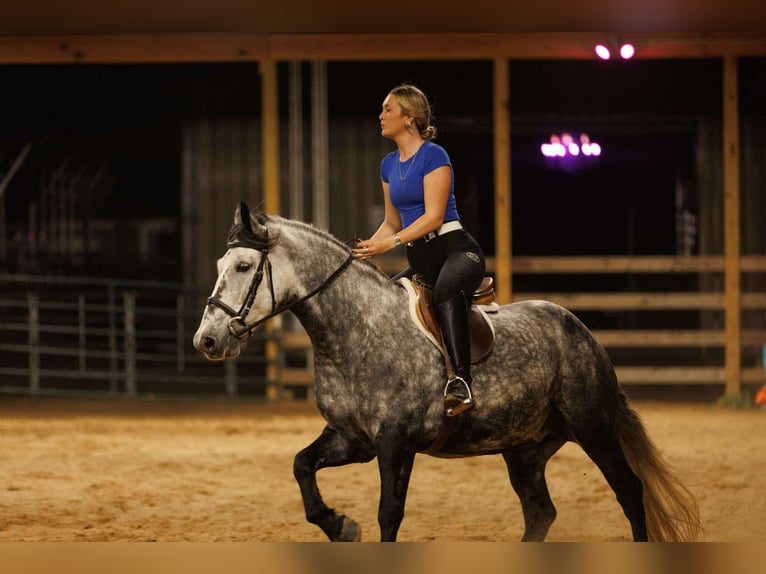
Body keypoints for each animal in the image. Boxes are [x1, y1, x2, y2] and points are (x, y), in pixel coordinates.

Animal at [193, 201, 702, 542]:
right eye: (220, 264)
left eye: (244, 265)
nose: (208, 340)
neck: (355, 330)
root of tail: (582, 332)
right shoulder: (352, 439)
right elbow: (302, 467)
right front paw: (340, 526)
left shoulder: (395, 443)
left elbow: (389, 514)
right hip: (526, 450)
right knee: (541, 513)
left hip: (593, 428)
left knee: (629, 491)